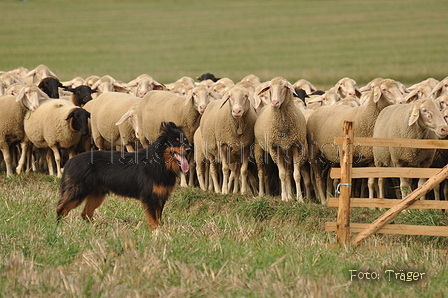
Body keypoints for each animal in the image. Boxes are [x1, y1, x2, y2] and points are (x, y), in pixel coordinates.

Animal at [57, 122, 190, 229]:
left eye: (186, 140)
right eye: (176, 140)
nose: (190, 149)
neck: (159, 161)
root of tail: (70, 161)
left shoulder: (160, 197)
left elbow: (158, 219)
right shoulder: (150, 198)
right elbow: (153, 220)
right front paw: (155, 234)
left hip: (97, 195)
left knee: (85, 214)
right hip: (79, 192)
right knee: (61, 209)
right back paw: (59, 228)